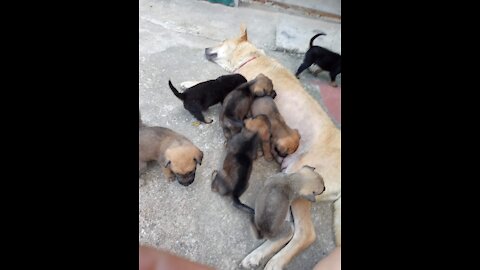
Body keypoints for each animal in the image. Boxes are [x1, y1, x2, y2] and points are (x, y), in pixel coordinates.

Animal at [202, 25, 342, 270]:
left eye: (222, 40)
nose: (205, 48)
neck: (252, 57)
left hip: (300, 182)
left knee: (302, 233)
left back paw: (268, 259)